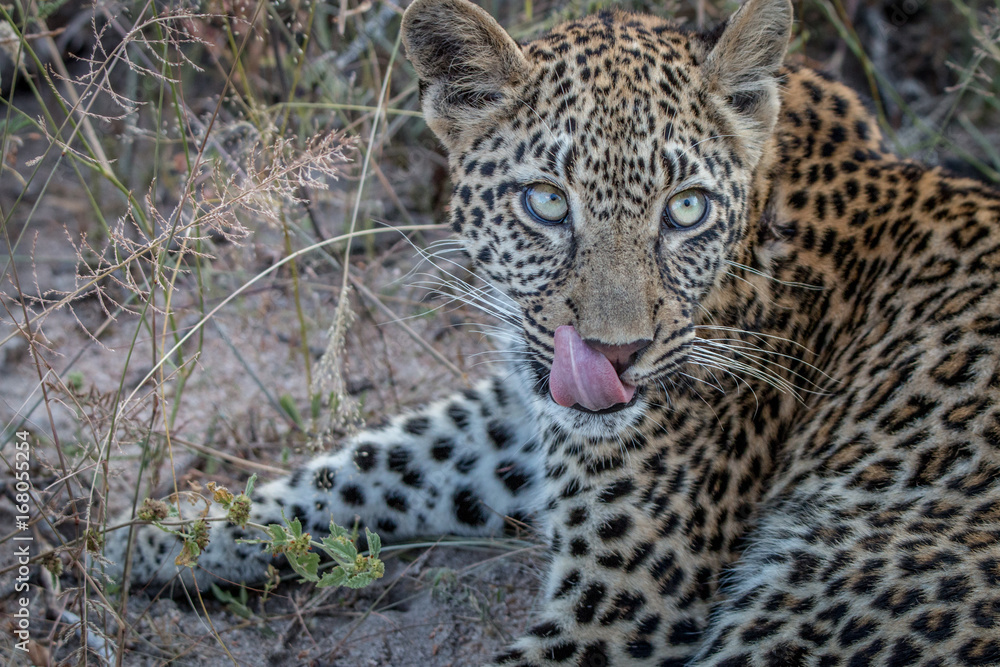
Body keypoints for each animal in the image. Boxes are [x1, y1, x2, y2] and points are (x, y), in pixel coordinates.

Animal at [105, 0, 1000, 664]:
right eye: (544, 202)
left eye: (686, 209)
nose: (616, 353)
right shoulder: (522, 407)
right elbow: (374, 461)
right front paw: (156, 537)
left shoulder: (628, 601)